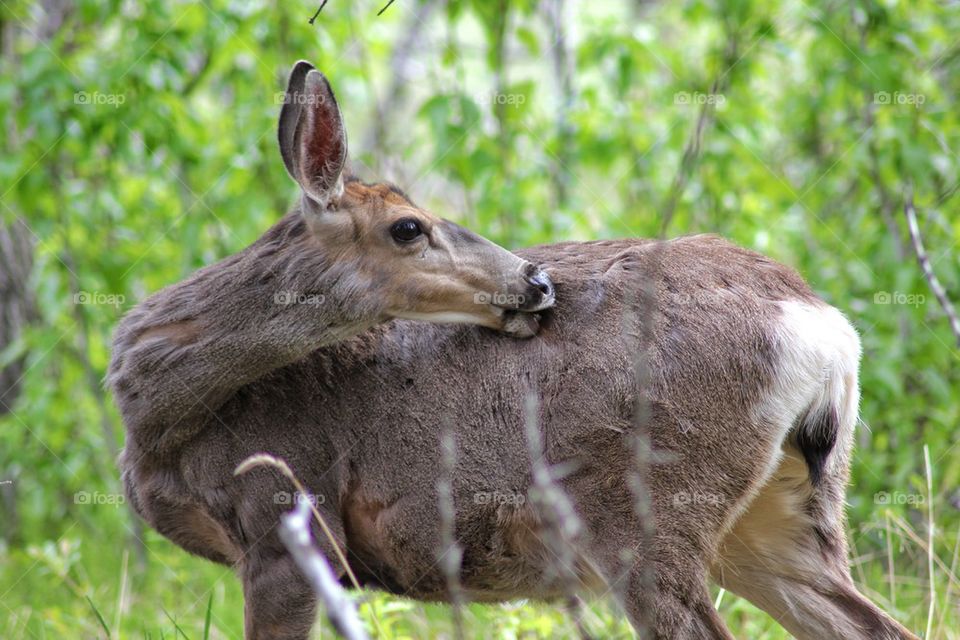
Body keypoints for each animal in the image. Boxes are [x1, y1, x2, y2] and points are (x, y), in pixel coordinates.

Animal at [108, 60, 919, 640]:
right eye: (409, 226)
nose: (535, 280)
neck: (164, 423)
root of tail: (825, 327)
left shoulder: (289, 518)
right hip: (785, 515)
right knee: (875, 626)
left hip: (651, 506)